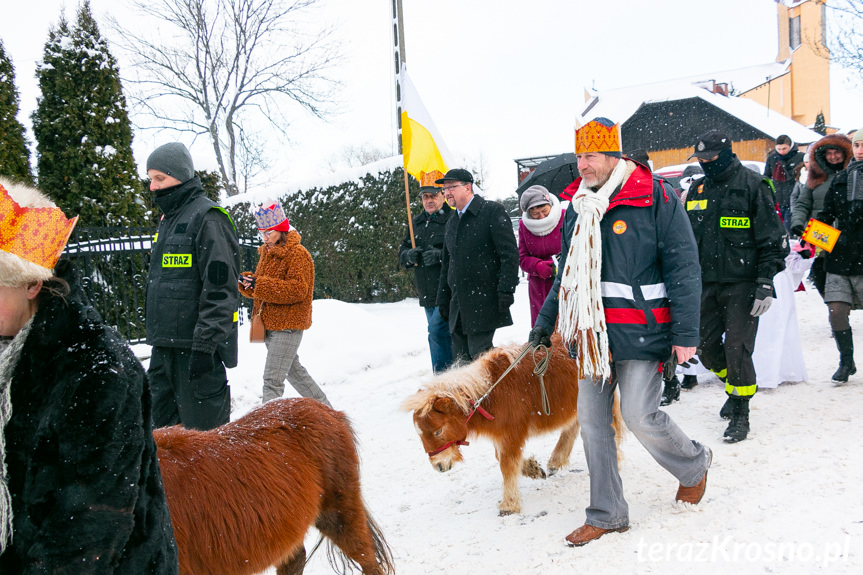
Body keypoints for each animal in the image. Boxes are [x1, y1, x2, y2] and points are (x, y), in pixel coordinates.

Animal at [402, 332, 624, 516]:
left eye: (438, 431)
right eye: (420, 434)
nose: (438, 466)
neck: (490, 394)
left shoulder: (511, 435)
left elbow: (506, 464)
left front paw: (509, 505)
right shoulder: (502, 436)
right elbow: (502, 458)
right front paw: (533, 469)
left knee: (610, 425)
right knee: (573, 427)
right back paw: (556, 460)